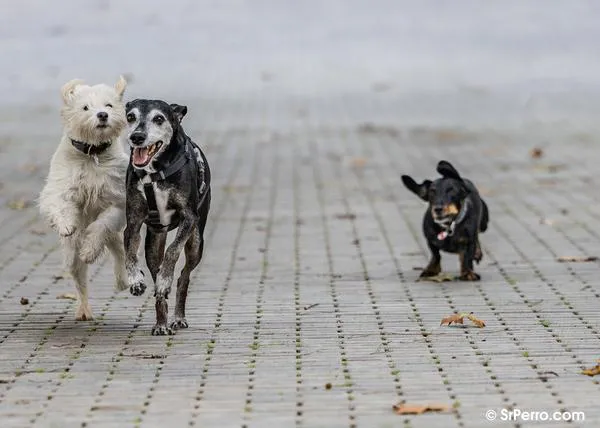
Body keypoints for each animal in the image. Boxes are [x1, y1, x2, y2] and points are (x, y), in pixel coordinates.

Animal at [39, 76, 131, 320]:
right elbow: (59, 204)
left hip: (117, 235)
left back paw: (123, 281)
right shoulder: (60, 187)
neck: (92, 154)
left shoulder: (117, 201)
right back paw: (84, 310)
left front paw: (90, 250)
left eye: (109, 105)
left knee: (119, 251)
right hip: (71, 256)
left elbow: (101, 225)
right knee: (80, 279)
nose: (102, 115)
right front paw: (65, 225)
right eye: (85, 108)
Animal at [122, 99, 211, 334]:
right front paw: (135, 280)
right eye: (130, 117)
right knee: (156, 270)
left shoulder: (189, 218)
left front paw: (164, 280)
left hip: (196, 242)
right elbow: (129, 253)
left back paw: (177, 315)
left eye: (159, 118)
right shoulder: (133, 222)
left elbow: (173, 250)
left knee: (183, 277)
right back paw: (161, 323)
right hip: (153, 243)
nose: (137, 137)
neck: (154, 172)